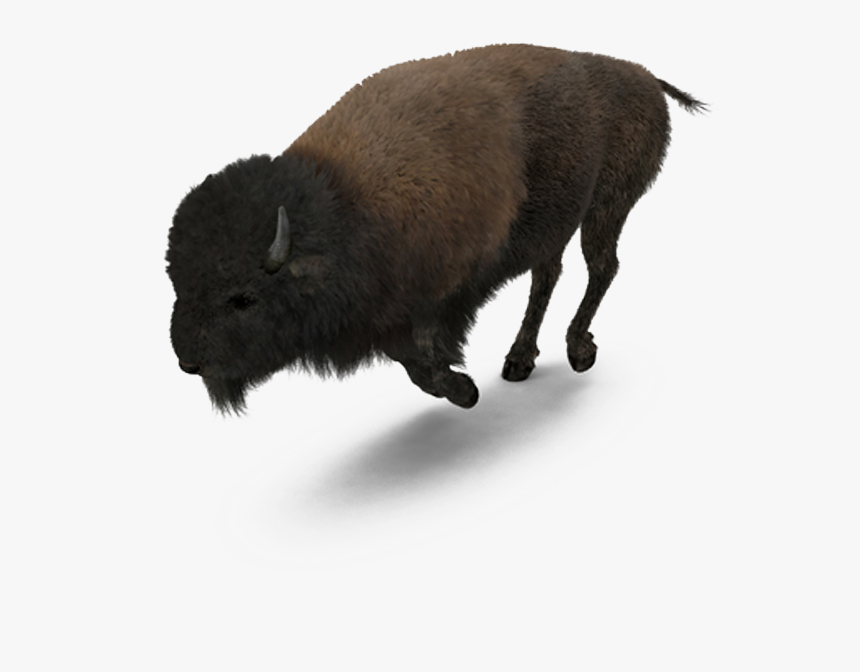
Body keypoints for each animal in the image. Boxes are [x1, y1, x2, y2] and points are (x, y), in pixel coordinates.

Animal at [167, 44, 705, 413]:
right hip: (558, 222)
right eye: (179, 282)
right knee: (548, 275)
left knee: (601, 266)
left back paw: (577, 351)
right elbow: (409, 362)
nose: (189, 362)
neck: (343, 205)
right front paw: (464, 387)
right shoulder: (389, 313)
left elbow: (424, 355)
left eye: (243, 298)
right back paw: (520, 361)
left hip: (608, 205)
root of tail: (644, 77)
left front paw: (465, 391)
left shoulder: (444, 295)